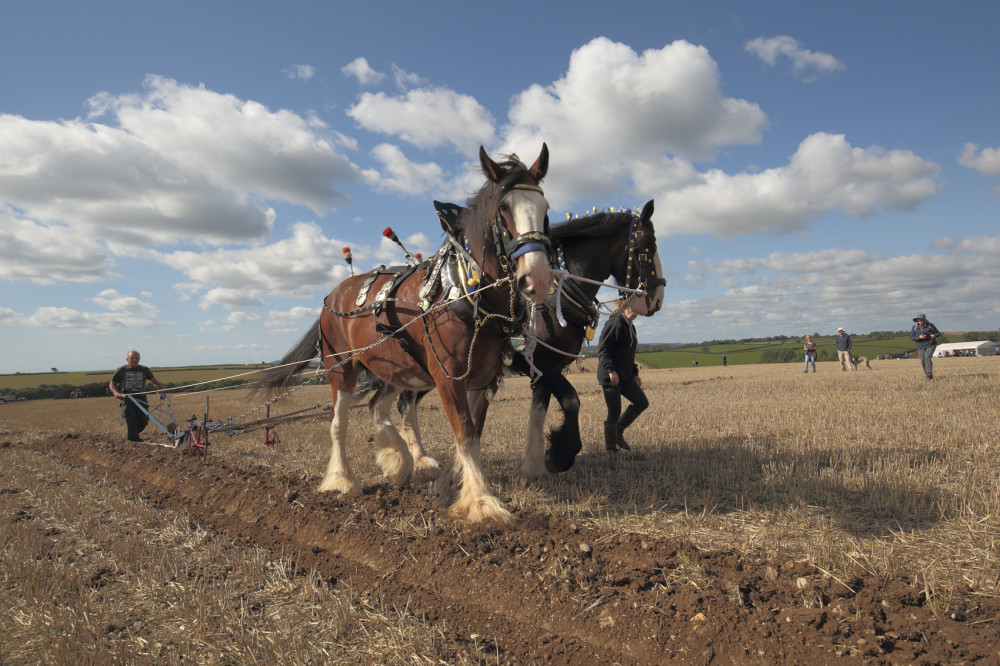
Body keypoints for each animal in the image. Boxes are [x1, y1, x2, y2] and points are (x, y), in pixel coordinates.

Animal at [262, 145, 552, 524]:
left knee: (377, 407)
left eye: (545, 209)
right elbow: (465, 433)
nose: (539, 279)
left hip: (394, 367)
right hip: (341, 368)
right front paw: (482, 502)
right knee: (338, 423)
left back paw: (398, 460)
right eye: (504, 209)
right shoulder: (448, 377)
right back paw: (342, 479)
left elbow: (474, 430)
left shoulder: (484, 379)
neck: (469, 293)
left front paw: (450, 485)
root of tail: (332, 296)